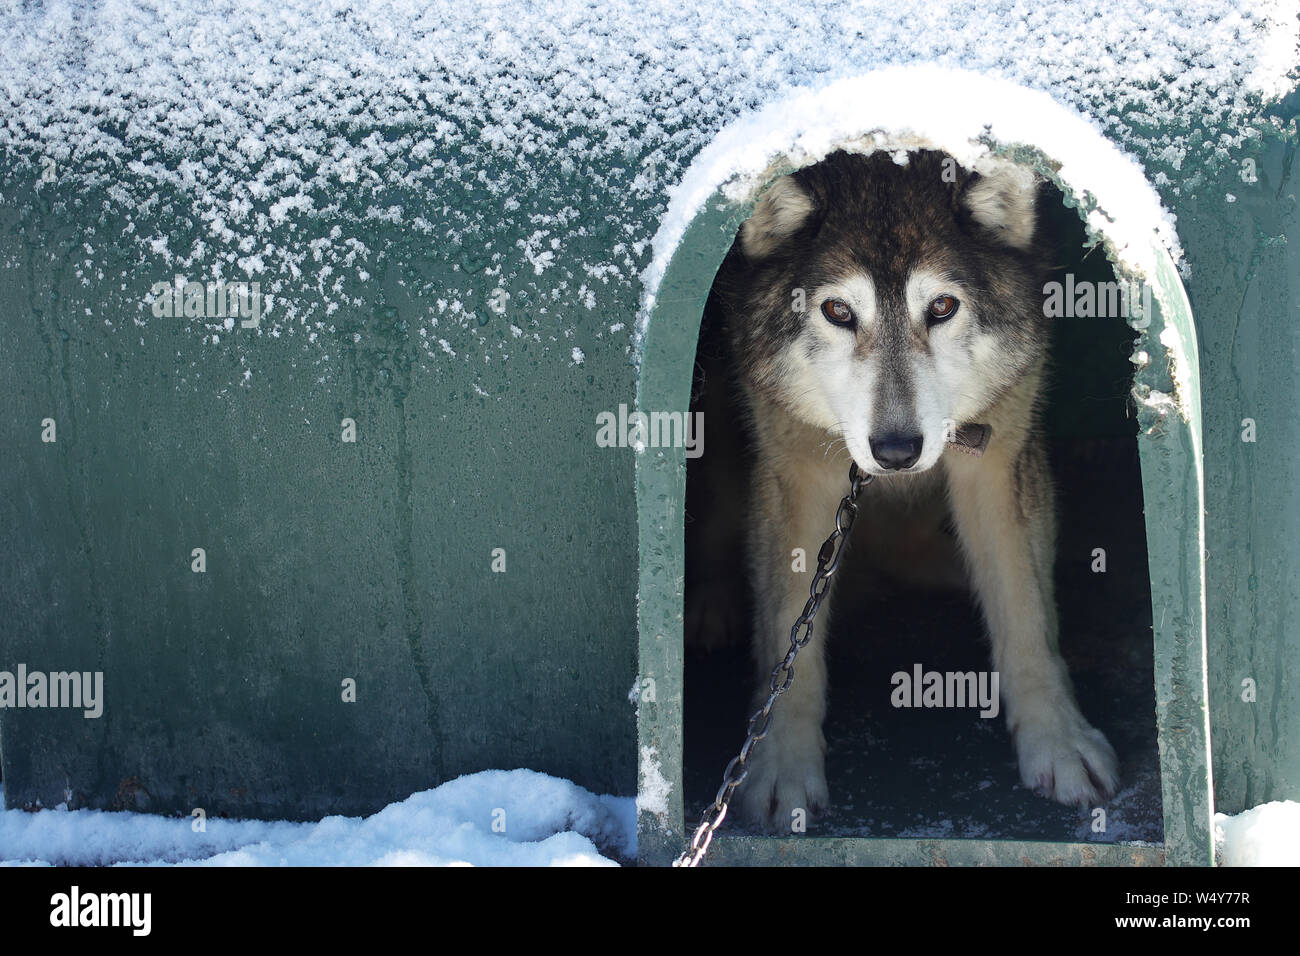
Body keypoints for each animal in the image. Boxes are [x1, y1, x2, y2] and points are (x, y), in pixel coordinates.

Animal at [702, 147, 1118, 832]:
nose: (896, 450)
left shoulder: (997, 454)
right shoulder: (796, 470)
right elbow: (790, 640)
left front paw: (1059, 744)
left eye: (943, 307)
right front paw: (780, 766)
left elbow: (1026, 615)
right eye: (838, 312)